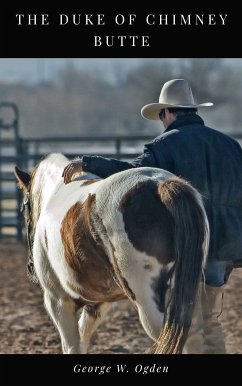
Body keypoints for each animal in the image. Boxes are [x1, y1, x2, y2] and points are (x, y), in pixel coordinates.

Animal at [13, 153, 210, 352]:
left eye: (24, 207)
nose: (30, 267)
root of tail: (160, 185)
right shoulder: (97, 305)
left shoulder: (58, 300)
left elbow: (72, 346)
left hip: (149, 305)